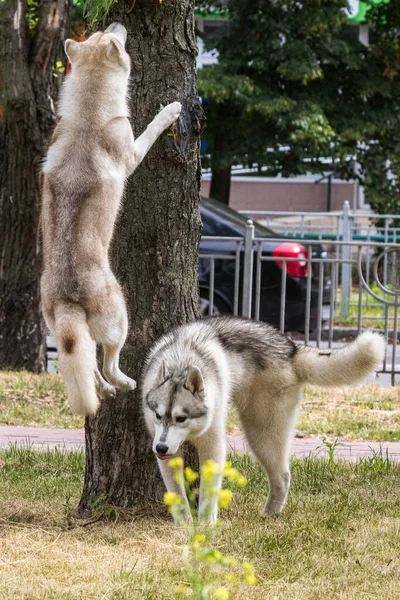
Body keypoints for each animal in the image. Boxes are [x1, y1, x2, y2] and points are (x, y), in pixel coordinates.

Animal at [40, 24, 181, 418]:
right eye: (107, 35)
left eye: (96, 33)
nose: (117, 23)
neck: (89, 109)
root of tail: (66, 298)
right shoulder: (132, 150)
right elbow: (150, 130)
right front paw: (171, 110)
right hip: (121, 318)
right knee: (109, 362)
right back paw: (125, 383)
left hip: (67, 334)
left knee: (88, 368)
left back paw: (103, 391)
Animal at [142, 316, 386, 524]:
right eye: (158, 415)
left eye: (181, 418)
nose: (160, 448)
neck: (181, 360)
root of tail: (290, 348)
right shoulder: (166, 450)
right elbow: (176, 491)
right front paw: (184, 524)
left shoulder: (212, 445)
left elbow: (208, 490)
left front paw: (206, 524)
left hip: (261, 433)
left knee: (282, 476)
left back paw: (269, 515)